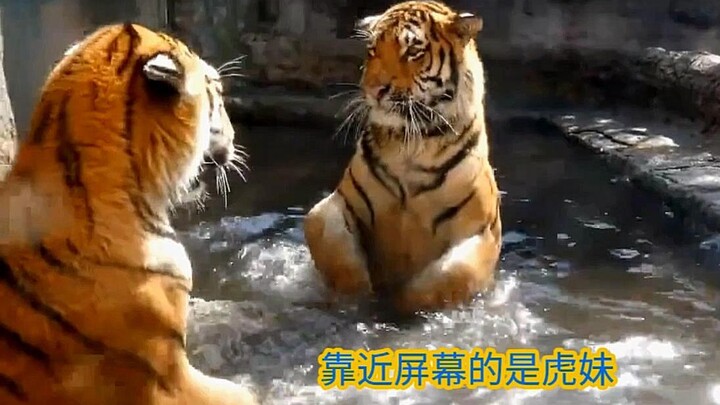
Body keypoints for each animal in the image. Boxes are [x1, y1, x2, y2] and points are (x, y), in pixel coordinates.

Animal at [304, 1, 502, 315]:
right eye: (372, 49)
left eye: (412, 51)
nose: (374, 89)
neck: (411, 145)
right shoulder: (336, 204)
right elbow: (331, 245)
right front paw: (356, 297)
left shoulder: (481, 231)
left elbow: (452, 276)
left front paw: (401, 306)